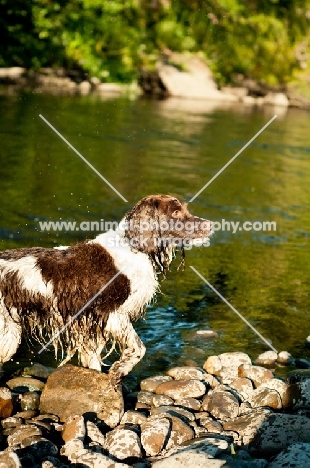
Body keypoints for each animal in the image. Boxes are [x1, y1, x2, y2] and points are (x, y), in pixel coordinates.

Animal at [0, 196, 212, 382]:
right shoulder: (110, 314)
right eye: (175, 212)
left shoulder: (90, 325)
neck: (132, 247)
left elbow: (93, 361)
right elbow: (139, 348)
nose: (210, 224)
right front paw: (120, 369)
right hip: (8, 335)